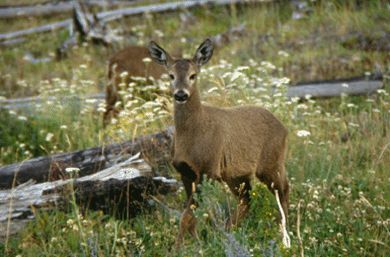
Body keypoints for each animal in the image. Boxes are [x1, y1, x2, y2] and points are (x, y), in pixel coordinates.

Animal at [149, 39, 290, 247]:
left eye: (193, 75)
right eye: (171, 75)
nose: (181, 95)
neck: (192, 135)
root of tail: (284, 127)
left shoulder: (208, 169)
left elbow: (187, 215)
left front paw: (179, 248)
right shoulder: (185, 172)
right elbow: (189, 216)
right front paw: (193, 244)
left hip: (271, 162)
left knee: (283, 190)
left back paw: (285, 235)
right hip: (236, 174)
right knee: (246, 200)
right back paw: (228, 232)